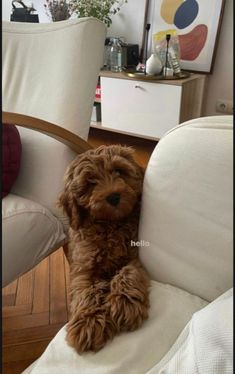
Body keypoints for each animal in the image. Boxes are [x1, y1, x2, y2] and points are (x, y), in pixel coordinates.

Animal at [57, 145, 150, 354]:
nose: (113, 197)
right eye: (90, 182)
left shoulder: (133, 255)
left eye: (119, 171)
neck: (111, 225)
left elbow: (128, 272)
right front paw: (87, 323)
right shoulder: (84, 266)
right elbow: (86, 291)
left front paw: (124, 304)